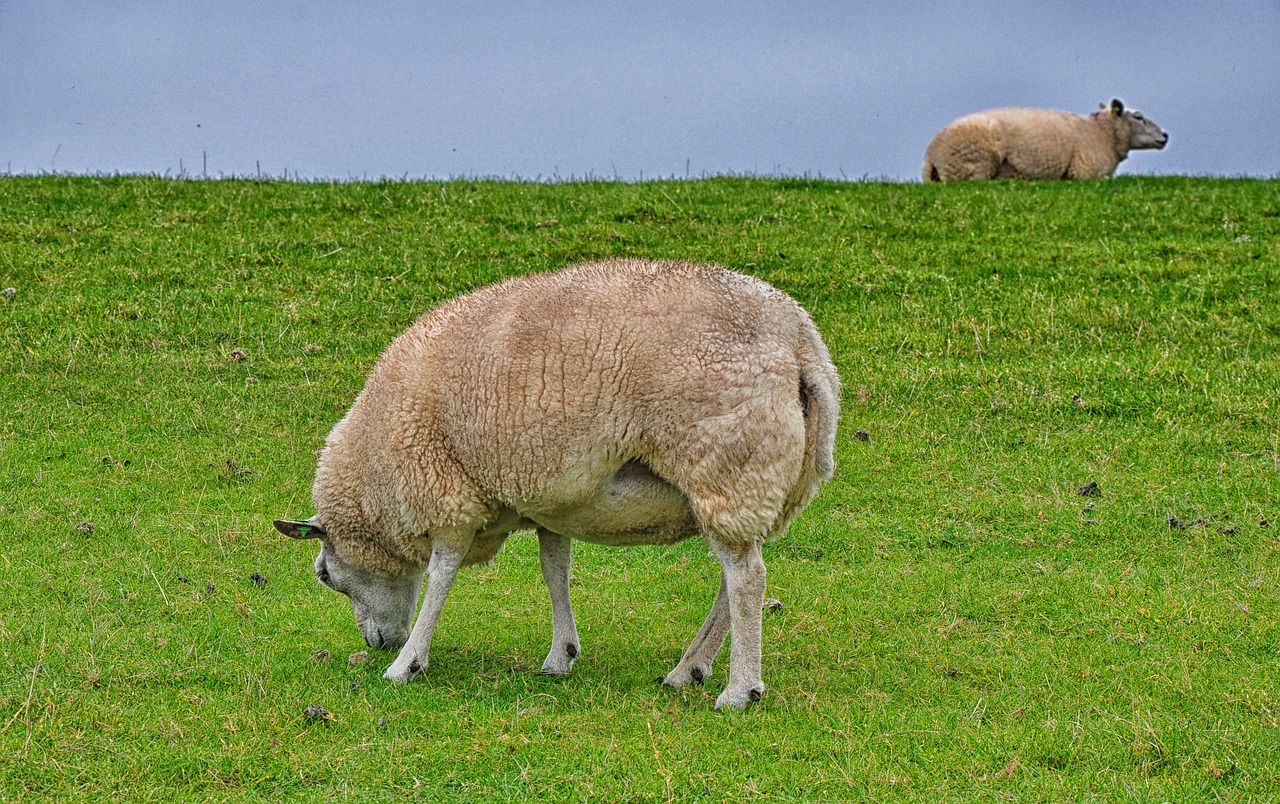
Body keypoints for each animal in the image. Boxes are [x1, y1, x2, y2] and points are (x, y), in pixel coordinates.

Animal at [276, 258, 839, 711]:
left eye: (325, 576)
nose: (378, 645)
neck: (377, 474)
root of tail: (801, 343)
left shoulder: (447, 493)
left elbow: (440, 576)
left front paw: (408, 662)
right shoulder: (550, 499)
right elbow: (555, 571)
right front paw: (561, 654)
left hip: (726, 463)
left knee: (747, 579)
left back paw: (740, 689)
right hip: (755, 481)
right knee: (734, 577)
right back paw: (689, 669)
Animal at [926, 97, 1167, 180]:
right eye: (1138, 117)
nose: (1165, 135)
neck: (1102, 133)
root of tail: (931, 155)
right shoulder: (1085, 172)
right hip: (974, 164)